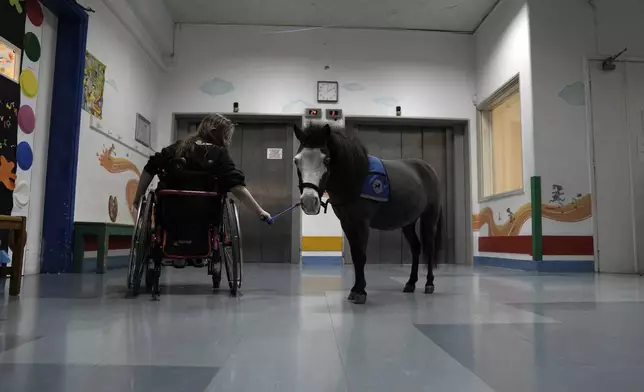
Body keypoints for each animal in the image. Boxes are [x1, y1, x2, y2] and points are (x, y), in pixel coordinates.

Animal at [296, 124, 442, 304]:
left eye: (326, 160)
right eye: (297, 160)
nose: (309, 201)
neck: (356, 177)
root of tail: (428, 168)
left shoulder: (362, 223)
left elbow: (361, 255)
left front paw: (360, 291)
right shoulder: (347, 223)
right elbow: (355, 254)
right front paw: (355, 289)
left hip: (430, 217)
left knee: (429, 247)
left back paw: (429, 283)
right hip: (408, 222)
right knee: (416, 247)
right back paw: (410, 283)